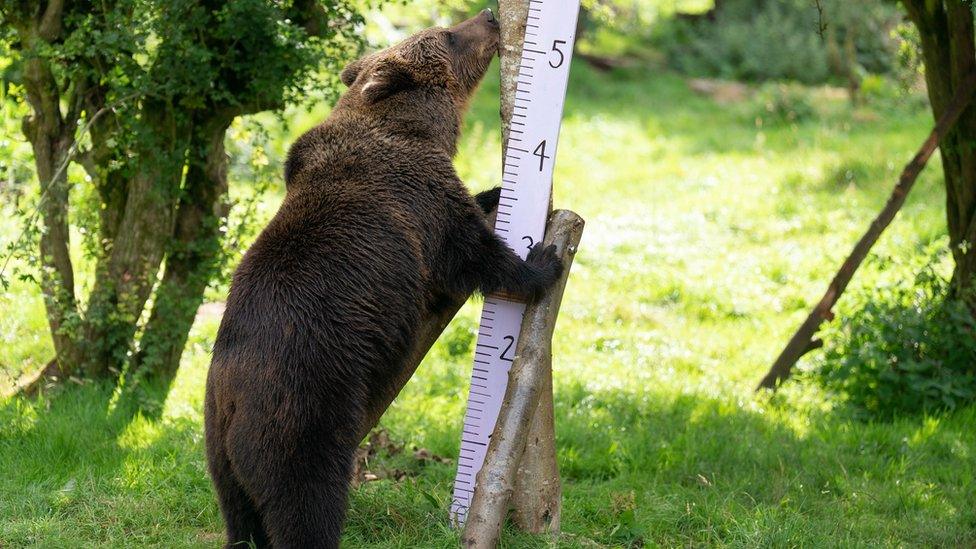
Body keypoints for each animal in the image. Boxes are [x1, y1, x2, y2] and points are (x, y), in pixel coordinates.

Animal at [202, 9, 560, 548]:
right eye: (448, 36)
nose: (488, 15)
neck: (414, 128)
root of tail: (228, 402)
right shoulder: (421, 196)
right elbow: (473, 254)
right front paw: (544, 258)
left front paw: (497, 191)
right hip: (301, 410)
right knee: (305, 503)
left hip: (222, 459)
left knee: (241, 517)